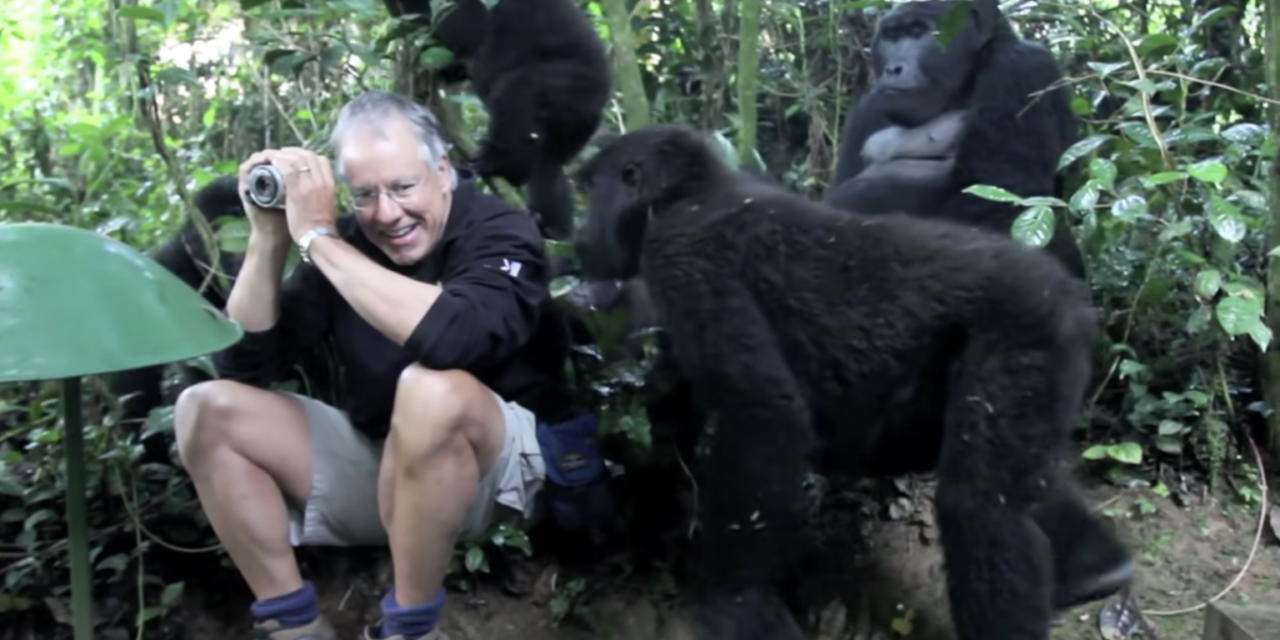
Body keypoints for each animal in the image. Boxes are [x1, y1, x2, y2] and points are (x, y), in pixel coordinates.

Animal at [570, 123, 1131, 640]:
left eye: (592, 190)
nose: (579, 236)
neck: (691, 191)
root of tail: (1073, 298)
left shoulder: (682, 257)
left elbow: (761, 412)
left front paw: (738, 599)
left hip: (1029, 334)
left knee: (979, 505)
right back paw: (1096, 567)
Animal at [824, 0, 1085, 280]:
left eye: (917, 33)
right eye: (892, 37)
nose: (893, 69)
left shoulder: (1020, 66)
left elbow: (1006, 203)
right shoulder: (869, 107)